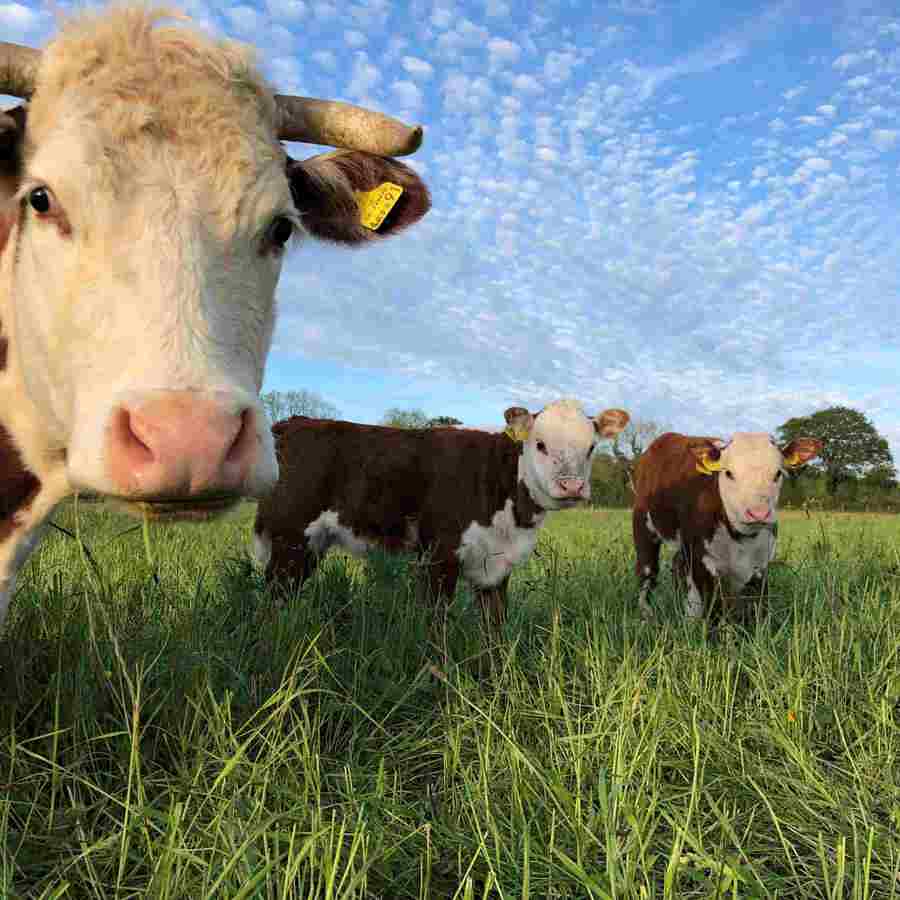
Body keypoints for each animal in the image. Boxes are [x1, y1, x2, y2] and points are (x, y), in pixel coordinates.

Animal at [253, 401, 630, 643]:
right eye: (540, 444)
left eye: (591, 447)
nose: (572, 486)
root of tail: (293, 422)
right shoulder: (438, 556)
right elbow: (437, 626)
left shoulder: (496, 567)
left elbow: (495, 628)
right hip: (289, 537)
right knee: (273, 596)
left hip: (309, 545)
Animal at [632, 432, 822, 622]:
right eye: (729, 473)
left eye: (777, 474)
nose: (758, 513)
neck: (741, 538)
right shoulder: (702, 560)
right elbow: (712, 609)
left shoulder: (761, 563)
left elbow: (758, 607)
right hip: (643, 524)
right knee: (647, 570)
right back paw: (646, 614)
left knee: (678, 564)